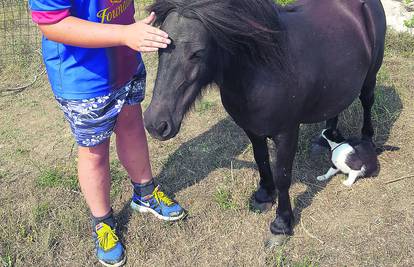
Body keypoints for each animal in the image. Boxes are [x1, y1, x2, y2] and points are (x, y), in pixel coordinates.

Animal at [144, 0, 386, 244]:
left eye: (197, 53)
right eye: (159, 49)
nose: (156, 124)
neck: (263, 70)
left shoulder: (287, 134)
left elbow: (283, 176)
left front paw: (282, 222)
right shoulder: (252, 130)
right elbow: (261, 160)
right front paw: (264, 195)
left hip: (370, 77)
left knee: (367, 101)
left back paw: (367, 141)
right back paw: (323, 140)